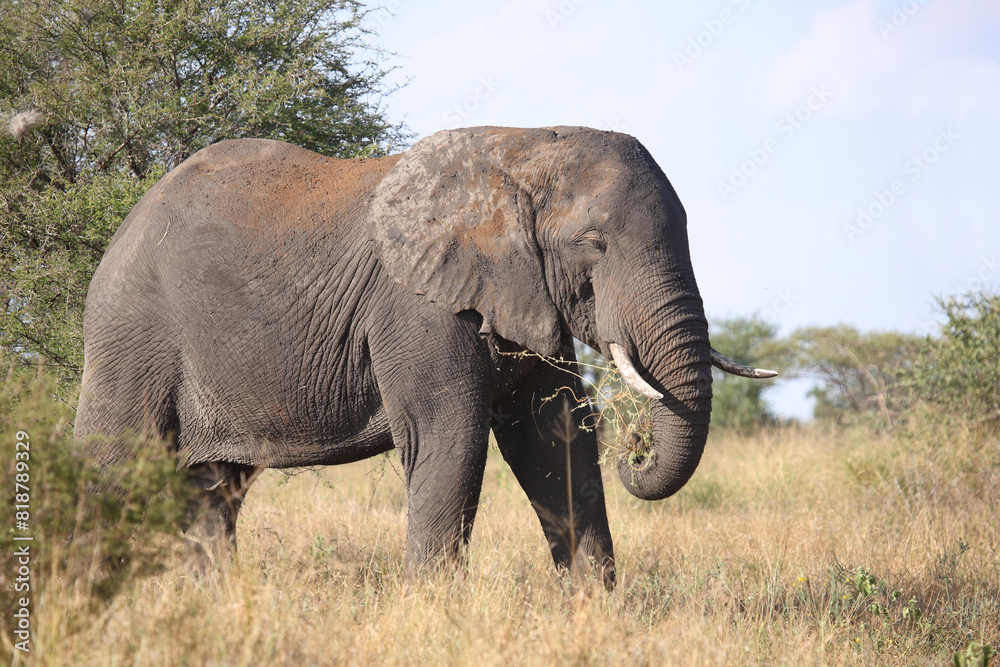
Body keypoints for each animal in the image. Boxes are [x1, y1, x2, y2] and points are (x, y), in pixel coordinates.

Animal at [76, 128, 772, 588]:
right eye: (592, 243)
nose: (637, 445)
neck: (522, 150)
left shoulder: (520, 294)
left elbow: (554, 438)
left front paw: (594, 610)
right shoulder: (418, 305)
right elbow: (450, 434)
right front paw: (434, 611)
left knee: (212, 493)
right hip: (132, 334)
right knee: (112, 467)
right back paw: (80, 596)